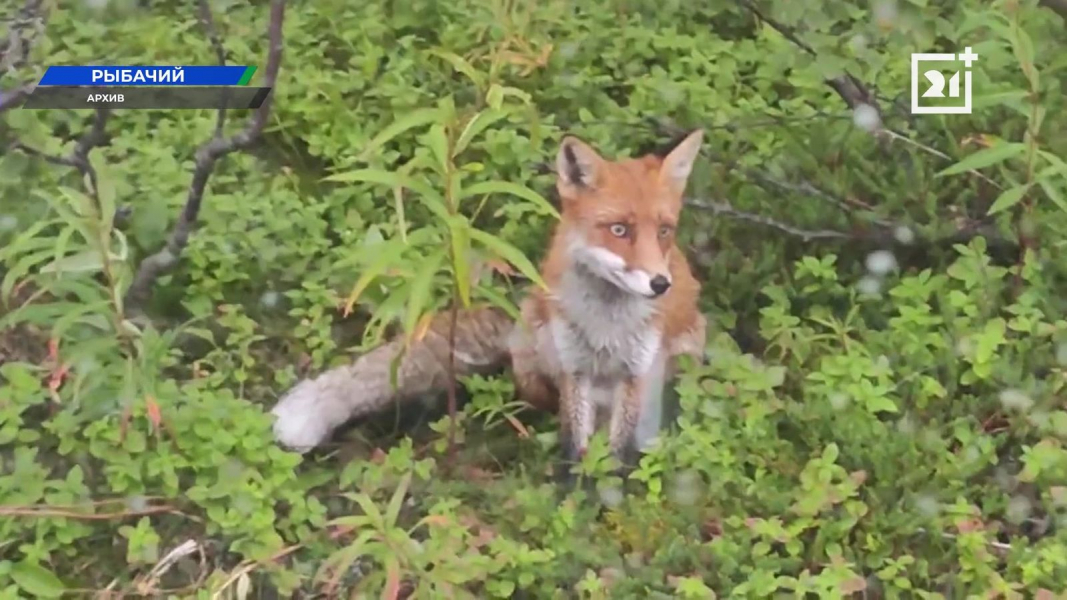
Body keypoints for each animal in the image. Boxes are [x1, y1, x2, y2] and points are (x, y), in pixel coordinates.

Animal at [270, 130, 707, 472]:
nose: (660, 284)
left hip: (681, 358)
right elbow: (572, 447)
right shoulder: (573, 367)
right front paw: (575, 492)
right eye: (619, 230)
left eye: (664, 231)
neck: (606, 326)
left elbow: (617, 454)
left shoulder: (636, 372)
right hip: (533, 356)